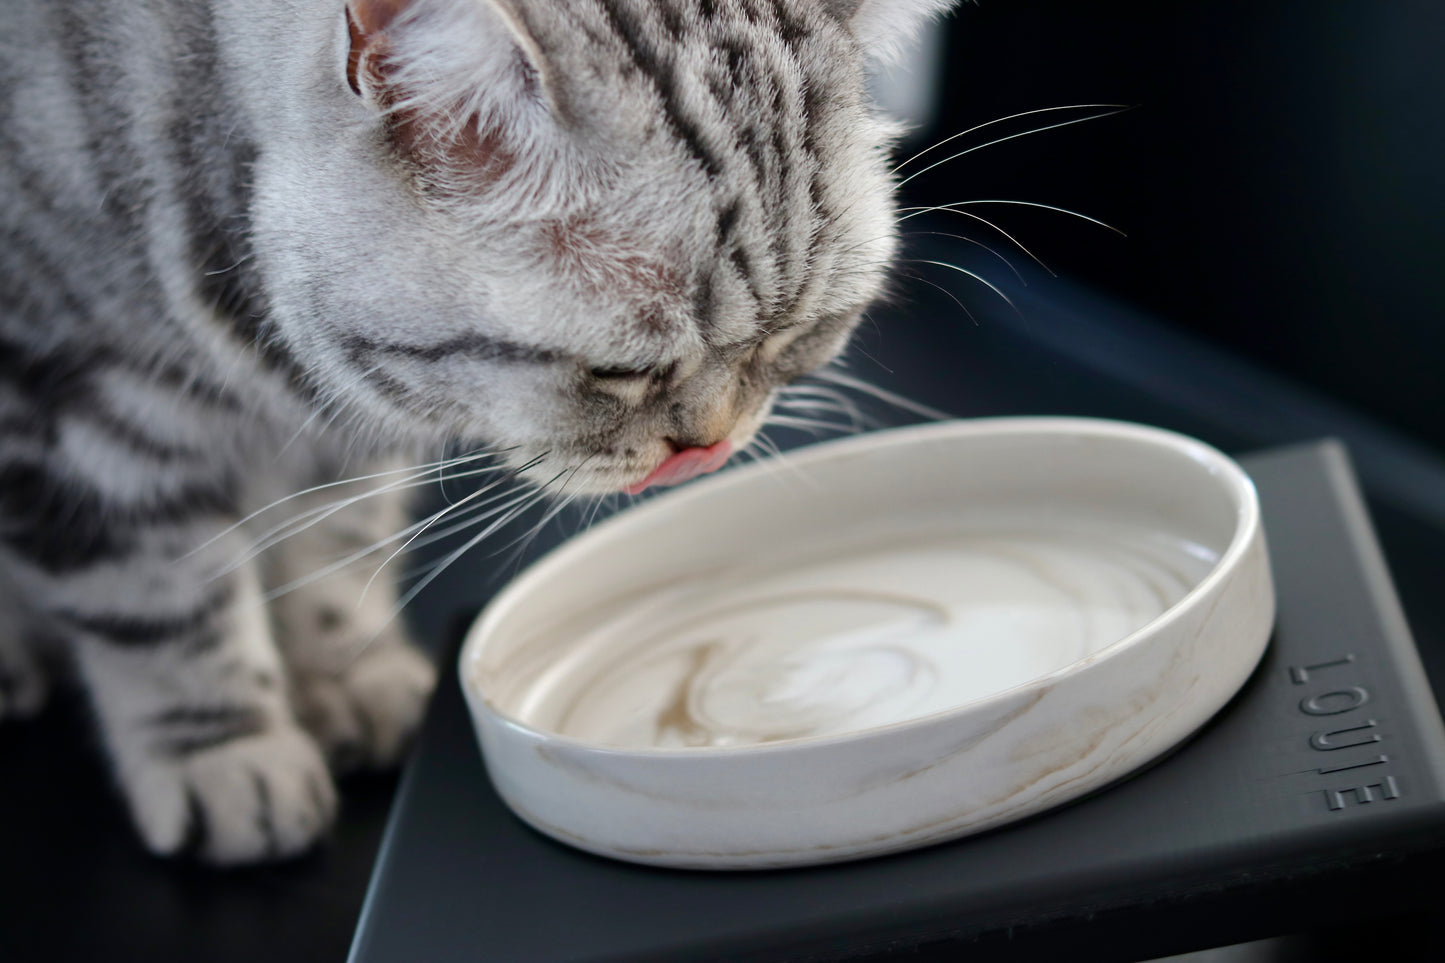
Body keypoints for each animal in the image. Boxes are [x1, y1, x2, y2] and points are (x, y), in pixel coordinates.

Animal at [2, 0, 959, 861]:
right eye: (624, 371)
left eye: (796, 337)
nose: (709, 448)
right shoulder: (81, 410)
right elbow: (167, 605)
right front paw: (227, 750)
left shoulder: (347, 443)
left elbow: (334, 557)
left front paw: (347, 673)